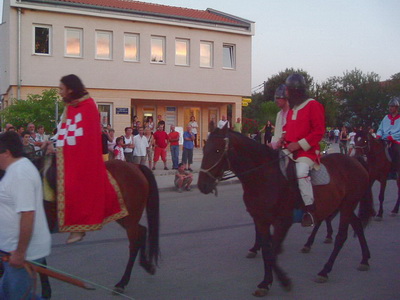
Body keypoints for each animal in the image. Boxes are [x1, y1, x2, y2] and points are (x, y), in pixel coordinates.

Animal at [38, 155, 159, 298]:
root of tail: (135, 166)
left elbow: (39, 261)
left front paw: (46, 291)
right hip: (124, 217)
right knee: (142, 231)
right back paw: (146, 265)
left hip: (129, 217)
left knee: (135, 242)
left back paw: (122, 283)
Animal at [198, 126, 376, 296]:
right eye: (205, 149)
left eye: (217, 150)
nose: (202, 185)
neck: (264, 176)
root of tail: (354, 160)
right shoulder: (261, 220)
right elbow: (267, 250)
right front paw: (266, 282)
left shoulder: (282, 222)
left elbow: (272, 252)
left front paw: (281, 281)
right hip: (343, 205)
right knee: (357, 225)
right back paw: (364, 259)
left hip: (347, 206)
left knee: (341, 237)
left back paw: (324, 271)